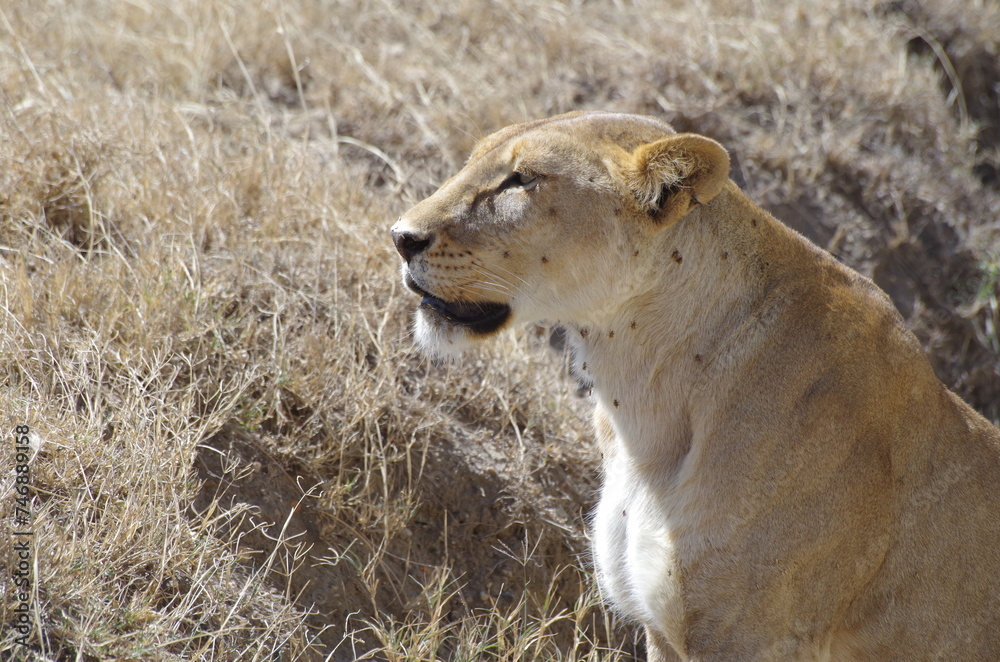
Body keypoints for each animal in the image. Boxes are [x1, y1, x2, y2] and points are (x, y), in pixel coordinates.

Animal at [390, 111, 1000, 661]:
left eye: (522, 180)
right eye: (474, 160)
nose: (399, 237)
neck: (641, 404)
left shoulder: (749, 638)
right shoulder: (661, 626)